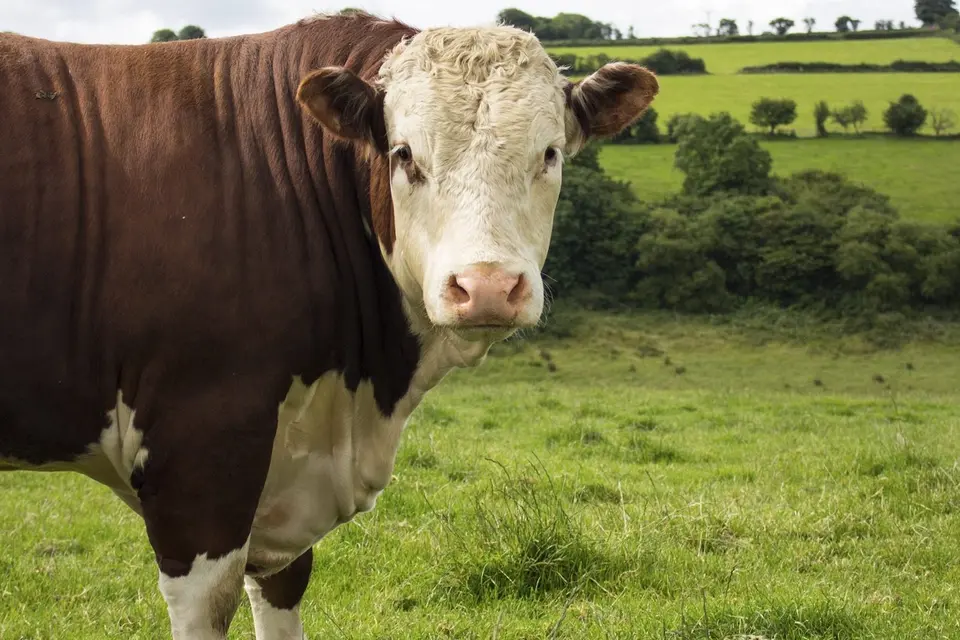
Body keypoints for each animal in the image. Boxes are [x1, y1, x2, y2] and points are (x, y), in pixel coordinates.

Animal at [0, 10, 658, 638]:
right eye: (404, 154)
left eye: (549, 153)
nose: (488, 286)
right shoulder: (200, 452)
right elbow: (207, 605)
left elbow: (283, 590)